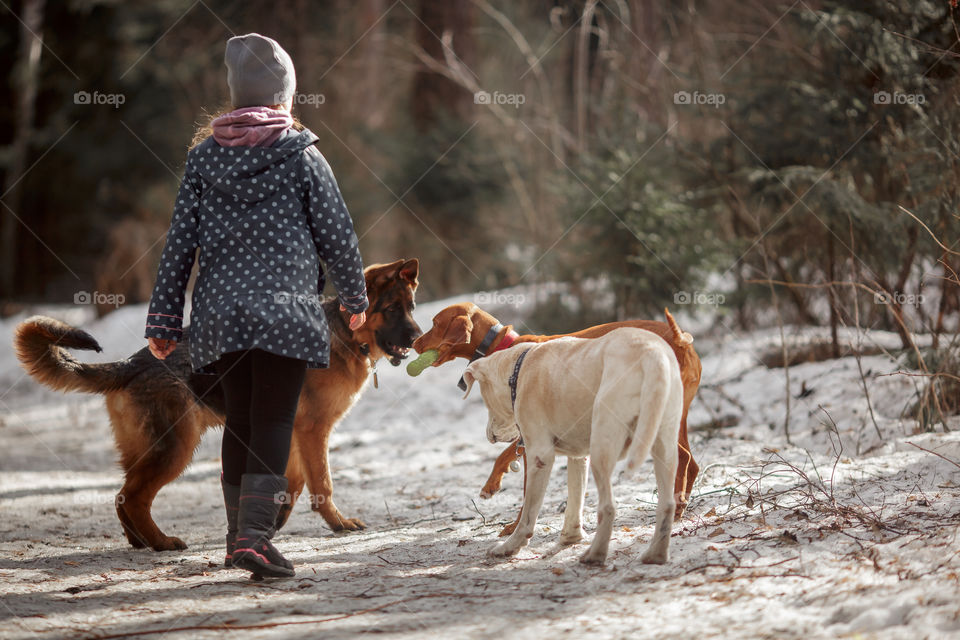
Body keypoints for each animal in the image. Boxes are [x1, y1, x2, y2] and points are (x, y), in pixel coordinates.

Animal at [14, 258, 420, 552]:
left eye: (412, 307)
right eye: (392, 309)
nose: (418, 338)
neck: (347, 333)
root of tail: (133, 363)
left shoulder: (294, 432)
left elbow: (295, 481)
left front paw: (275, 520)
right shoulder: (312, 430)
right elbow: (321, 481)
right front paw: (337, 524)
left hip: (150, 449)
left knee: (121, 497)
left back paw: (141, 541)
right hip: (176, 447)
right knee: (133, 498)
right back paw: (161, 542)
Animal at [408, 302, 700, 532]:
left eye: (435, 324)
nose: (413, 343)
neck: (504, 346)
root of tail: (680, 339)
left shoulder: (534, 434)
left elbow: (518, 477)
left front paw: (510, 515)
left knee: (683, 457)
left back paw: (676, 508)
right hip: (675, 415)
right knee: (693, 463)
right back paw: (682, 504)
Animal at [464, 328, 684, 564]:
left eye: (485, 401)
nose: (489, 435)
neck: (518, 370)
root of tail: (653, 353)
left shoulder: (540, 456)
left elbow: (528, 513)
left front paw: (510, 546)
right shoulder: (579, 457)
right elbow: (574, 500)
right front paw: (571, 537)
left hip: (602, 446)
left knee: (608, 507)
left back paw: (595, 555)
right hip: (664, 446)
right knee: (667, 504)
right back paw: (656, 555)